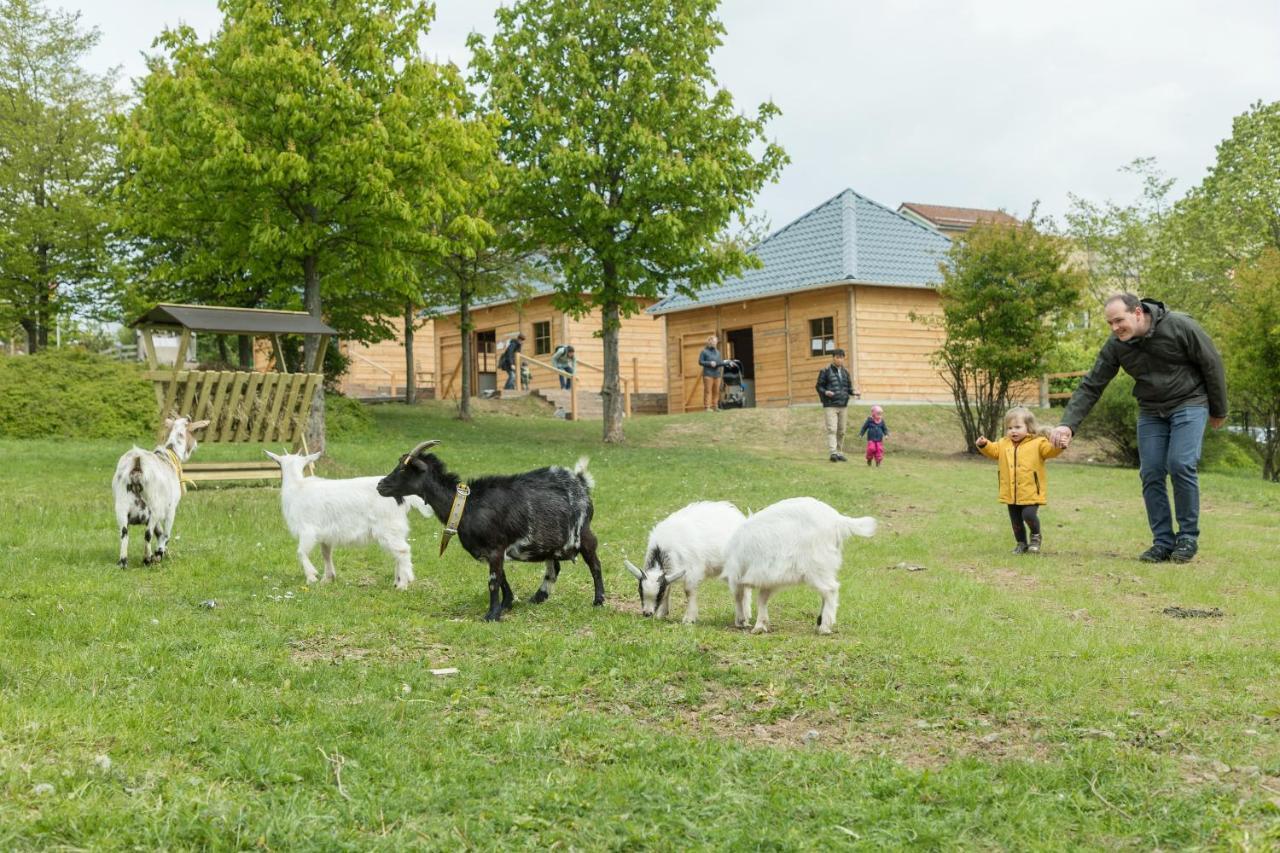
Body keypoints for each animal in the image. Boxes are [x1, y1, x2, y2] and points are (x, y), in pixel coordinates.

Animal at [112, 412, 209, 563]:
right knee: (147, 534)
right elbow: (166, 534)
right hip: (154, 508)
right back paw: (148, 559)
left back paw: (123, 561)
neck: (170, 454)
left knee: (124, 533)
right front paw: (159, 553)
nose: (196, 445)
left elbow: (159, 532)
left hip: (121, 508)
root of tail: (137, 464)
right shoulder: (171, 509)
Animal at [264, 448, 435, 589]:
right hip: (395, 529)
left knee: (403, 551)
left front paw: (311, 577)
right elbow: (326, 553)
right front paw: (327, 579)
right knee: (398, 553)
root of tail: (403, 496)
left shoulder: (308, 530)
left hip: (388, 527)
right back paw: (397, 581)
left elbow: (301, 552)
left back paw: (403, 585)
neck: (297, 487)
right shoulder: (325, 534)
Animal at [373, 438, 604, 617]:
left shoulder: (495, 548)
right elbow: (502, 579)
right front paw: (506, 604)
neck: (465, 505)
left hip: (584, 533)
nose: (380, 486)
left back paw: (599, 601)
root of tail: (581, 483)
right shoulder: (491, 552)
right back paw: (538, 597)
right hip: (550, 542)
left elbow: (493, 581)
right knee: (554, 567)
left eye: (405, 468)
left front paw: (492, 615)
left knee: (595, 564)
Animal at [727, 499, 875, 630]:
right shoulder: (766, 577)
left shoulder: (737, 574)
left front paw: (742, 621)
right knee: (825, 592)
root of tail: (838, 520)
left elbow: (739, 596)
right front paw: (760, 625)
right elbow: (762, 598)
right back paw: (820, 621)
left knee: (831, 589)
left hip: (817, 564)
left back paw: (825, 627)